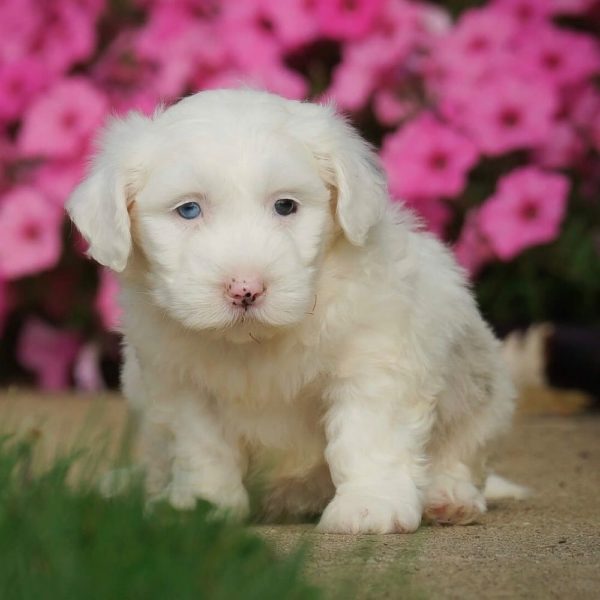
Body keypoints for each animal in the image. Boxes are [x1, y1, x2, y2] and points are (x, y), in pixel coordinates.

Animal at [67, 86, 516, 532]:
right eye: (188, 210)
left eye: (285, 206)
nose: (245, 288)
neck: (255, 340)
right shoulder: (182, 385)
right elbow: (203, 449)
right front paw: (200, 506)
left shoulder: (374, 362)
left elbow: (369, 436)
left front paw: (369, 506)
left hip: (481, 388)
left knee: (462, 452)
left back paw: (448, 497)